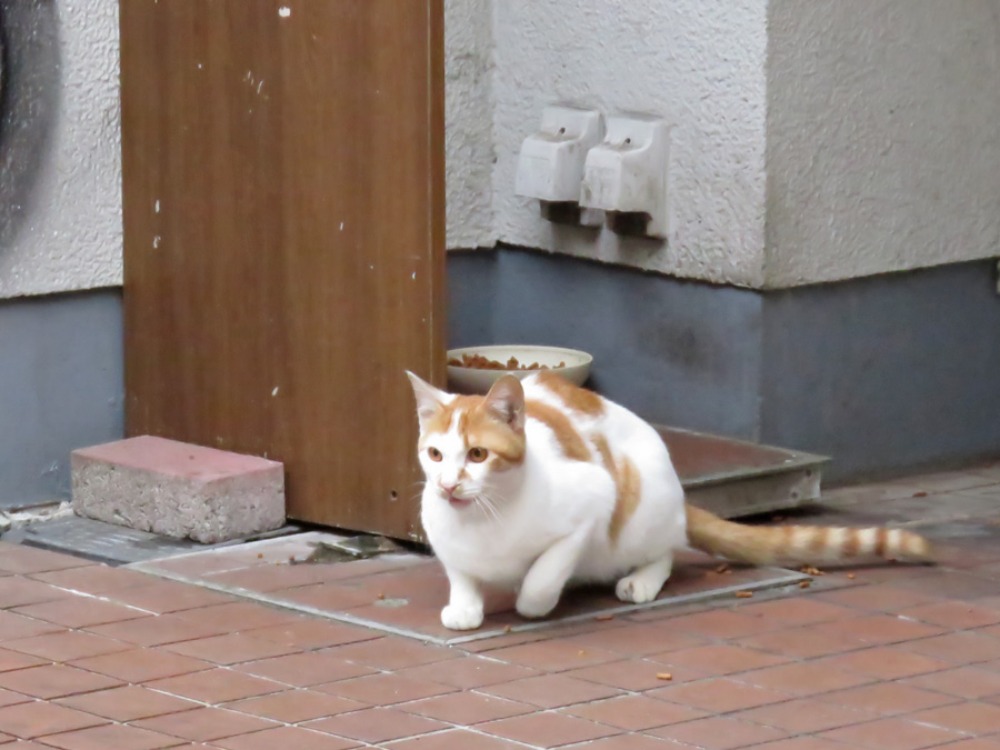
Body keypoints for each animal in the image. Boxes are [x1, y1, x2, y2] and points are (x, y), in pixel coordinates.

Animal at [404, 374, 928, 632]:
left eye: (478, 455)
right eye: (435, 454)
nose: (447, 485)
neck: (484, 520)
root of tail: (680, 490)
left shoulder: (594, 499)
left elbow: (542, 579)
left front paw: (533, 598)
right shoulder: (447, 543)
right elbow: (462, 578)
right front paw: (465, 606)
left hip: (642, 506)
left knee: (667, 549)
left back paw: (640, 580)